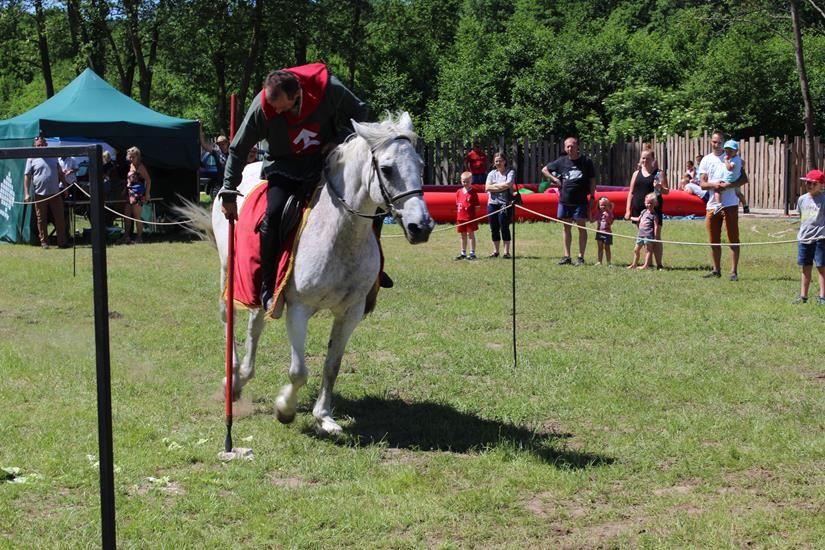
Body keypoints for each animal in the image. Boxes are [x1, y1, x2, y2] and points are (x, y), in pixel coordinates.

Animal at [185, 114, 432, 438]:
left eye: (420, 165)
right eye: (388, 169)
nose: (421, 226)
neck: (340, 233)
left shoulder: (350, 312)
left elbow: (332, 366)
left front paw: (324, 416)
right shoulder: (298, 308)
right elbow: (299, 371)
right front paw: (285, 409)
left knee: (254, 325)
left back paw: (243, 376)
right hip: (230, 271)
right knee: (229, 317)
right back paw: (233, 380)